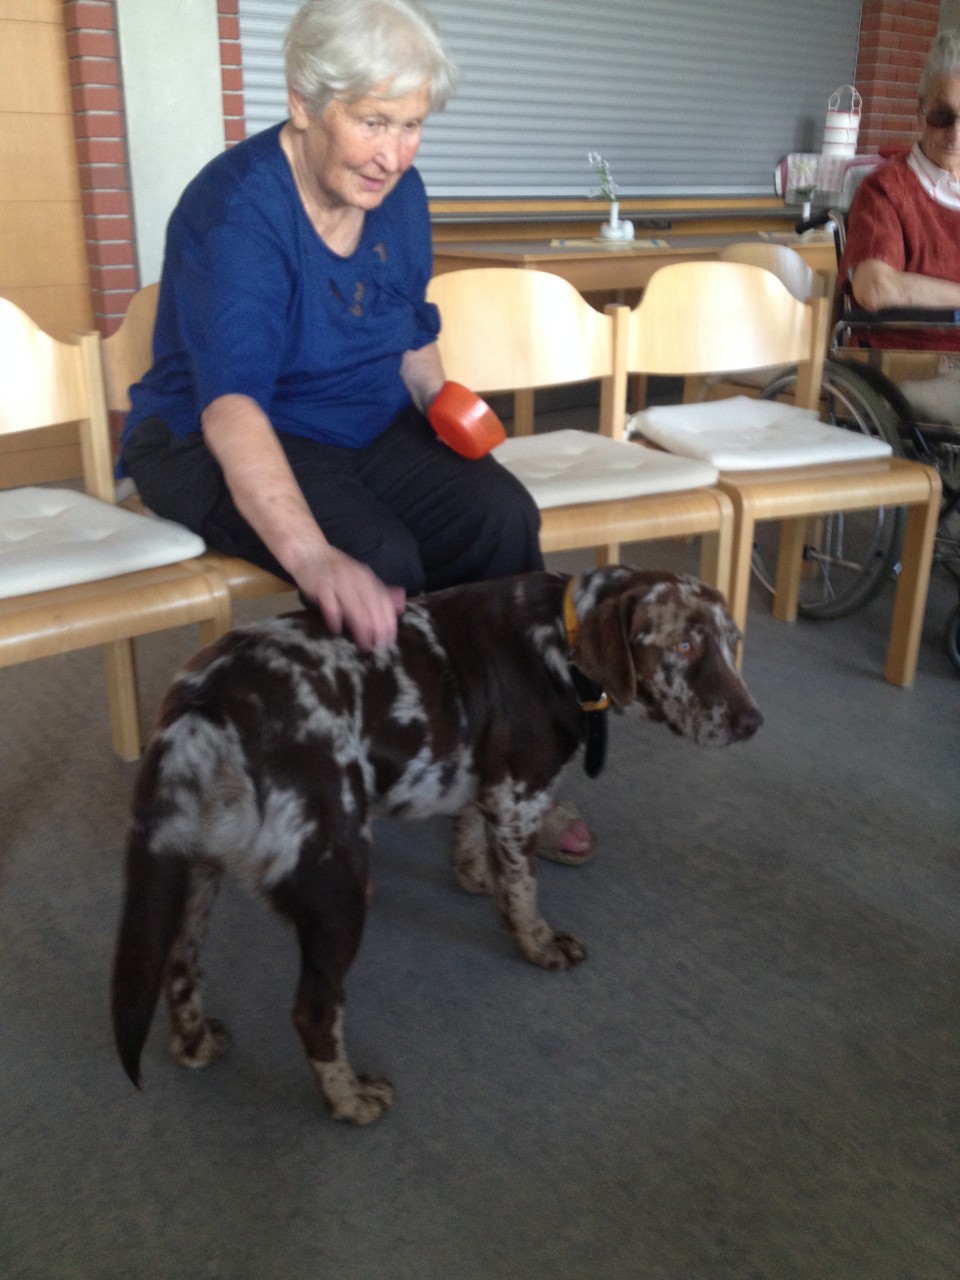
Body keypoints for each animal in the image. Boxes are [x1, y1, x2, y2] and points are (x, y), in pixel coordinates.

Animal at [111, 566, 761, 1124]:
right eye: (684, 646)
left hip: (192, 878)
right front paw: (538, 943)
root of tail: (205, 704)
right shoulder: (519, 797)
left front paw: (475, 875)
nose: (753, 722)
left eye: (733, 642)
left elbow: (471, 836)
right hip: (338, 885)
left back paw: (196, 1045)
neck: (558, 642)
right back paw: (350, 1099)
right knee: (314, 1013)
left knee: (179, 972)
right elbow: (524, 892)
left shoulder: (485, 787)